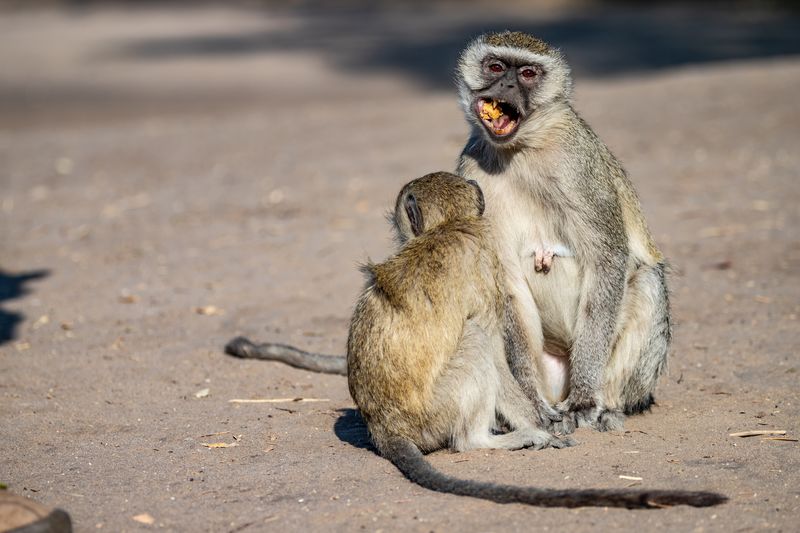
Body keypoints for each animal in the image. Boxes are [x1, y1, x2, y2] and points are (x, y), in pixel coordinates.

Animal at [454, 30, 672, 432]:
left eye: (527, 73)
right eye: (495, 67)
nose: (506, 85)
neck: (523, 149)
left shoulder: (576, 163)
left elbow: (607, 256)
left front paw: (585, 399)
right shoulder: (472, 172)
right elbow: (506, 278)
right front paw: (531, 406)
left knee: (648, 280)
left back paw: (609, 405)